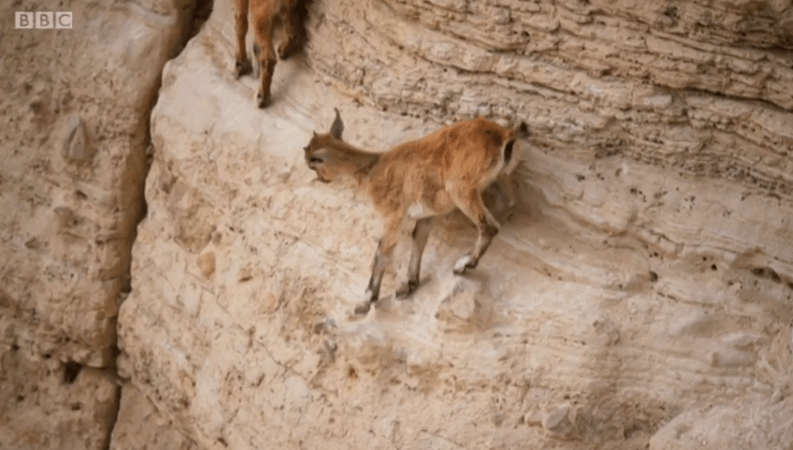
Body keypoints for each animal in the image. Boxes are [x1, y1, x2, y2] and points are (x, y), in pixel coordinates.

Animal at [300, 108, 528, 314]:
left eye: (314, 163)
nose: (321, 179)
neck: (372, 169)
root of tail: (505, 135)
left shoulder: (392, 215)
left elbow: (382, 252)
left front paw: (366, 301)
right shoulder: (427, 215)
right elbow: (418, 241)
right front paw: (409, 285)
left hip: (461, 189)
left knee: (489, 227)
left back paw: (463, 264)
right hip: (502, 179)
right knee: (508, 206)